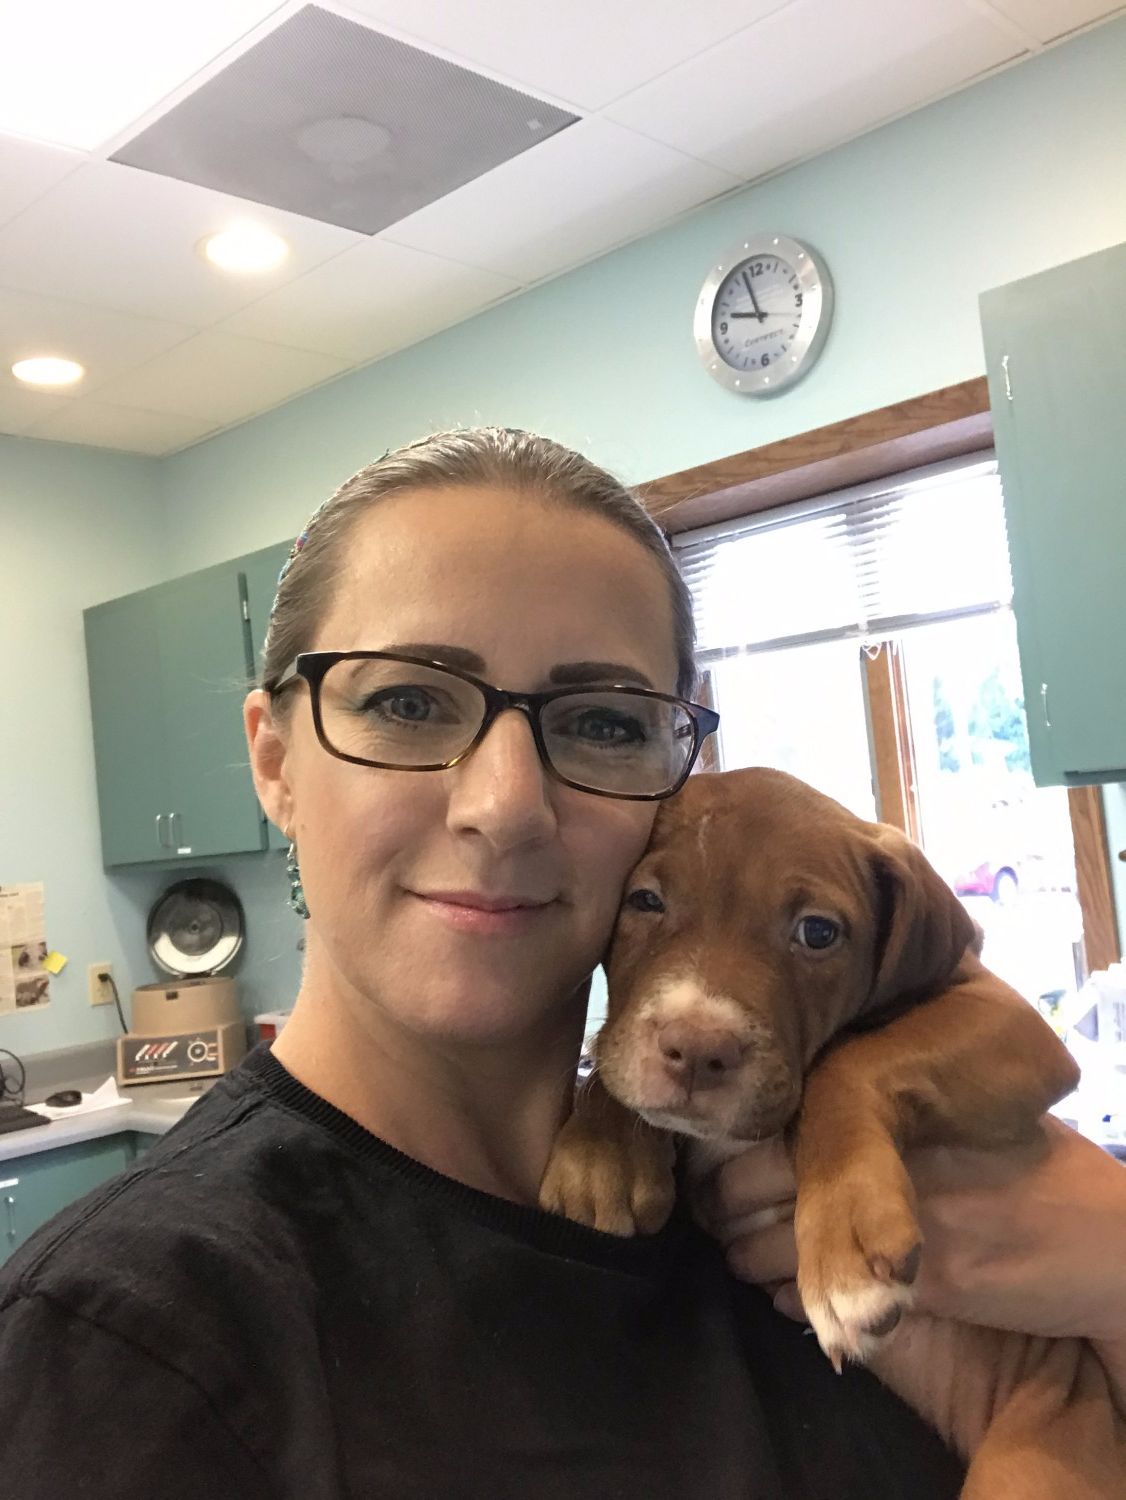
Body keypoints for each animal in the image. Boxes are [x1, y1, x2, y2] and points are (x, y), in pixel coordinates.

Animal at [542, 774, 1121, 1500]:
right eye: (644, 900)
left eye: (817, 932)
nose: (699, 1050)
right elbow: (609, 1056)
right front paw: (602, 1156)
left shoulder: (1009, 1020)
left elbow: (848, 1062)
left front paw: (843, 1242)